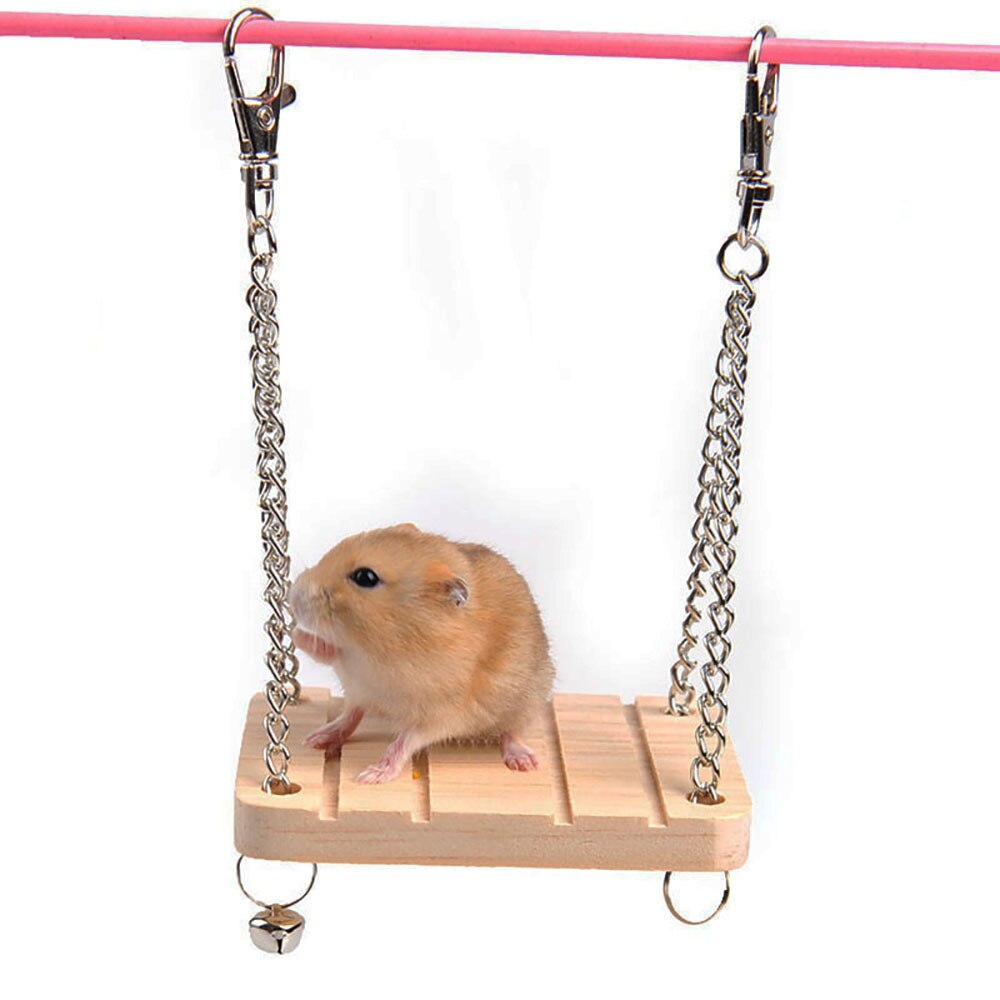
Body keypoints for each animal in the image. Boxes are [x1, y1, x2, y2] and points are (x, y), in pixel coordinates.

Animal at [290, 523, 555, 784]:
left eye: (365, 577)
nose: (293, 595)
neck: (382, 648)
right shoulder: (353, 669)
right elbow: (329, 654)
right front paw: (295, 633)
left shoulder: (442, 714)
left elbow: (405, 742)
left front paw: (370, 776)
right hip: (359, 693)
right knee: (351, 714)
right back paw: (315, 738)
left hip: (526, 703)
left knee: (513, 732)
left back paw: (524, 762)